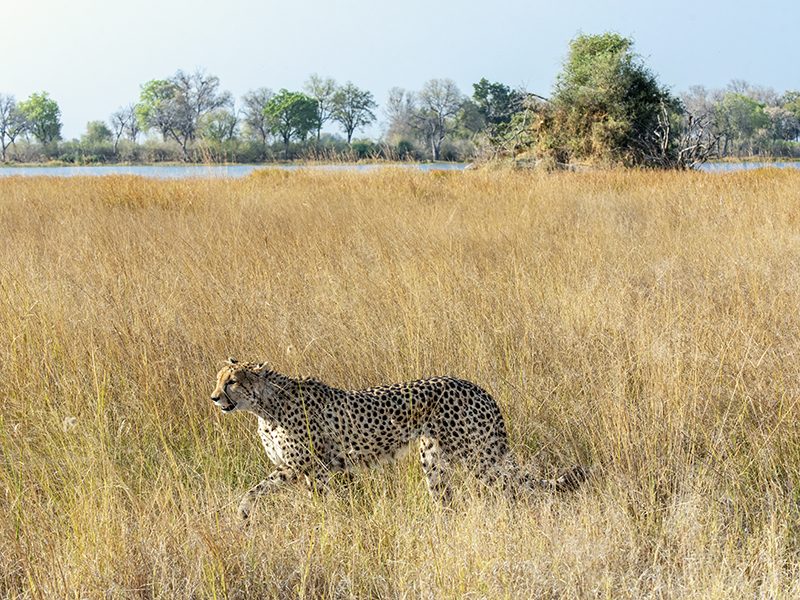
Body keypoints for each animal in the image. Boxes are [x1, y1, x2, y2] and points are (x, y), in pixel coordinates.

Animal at [212, 358, 588, 516]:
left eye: (231, 381)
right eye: (218, 380)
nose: (214, 398)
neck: (264, 407)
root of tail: (476, 387)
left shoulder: (313, 471)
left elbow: (324, 505)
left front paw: (328, 529)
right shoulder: (290, 469)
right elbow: (255, 490)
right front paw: (242, 514)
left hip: (480, 457)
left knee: (516, 488)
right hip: (433, 460)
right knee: (446, 499)